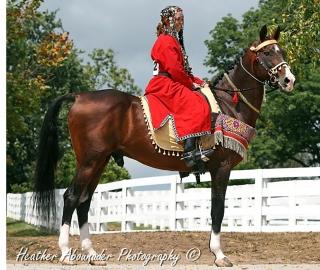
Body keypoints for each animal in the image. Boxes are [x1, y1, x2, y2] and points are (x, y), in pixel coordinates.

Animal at [32, 24, 296, 266]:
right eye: (267, 53)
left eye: (281, 51)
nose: (289, 80)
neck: (228, 103)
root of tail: (80, 95)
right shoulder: (221, 168)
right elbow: (218, 209)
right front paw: (219, 255)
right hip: (89, 162)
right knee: (71, 197)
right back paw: (66, 253)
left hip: (99, 162)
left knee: (84, 201)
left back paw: (92, 254)